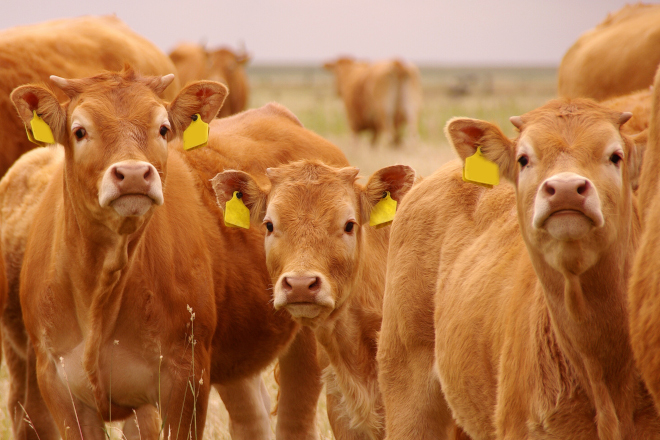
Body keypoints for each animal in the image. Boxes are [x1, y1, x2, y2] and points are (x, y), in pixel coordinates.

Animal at [7, 68, 349, 440]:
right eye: (79, 131)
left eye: (163, 128)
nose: (133, 174)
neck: (98, 289)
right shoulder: (56, 382)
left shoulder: (185, 375)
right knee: (251, 416)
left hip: (307, 335)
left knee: (295, 418)